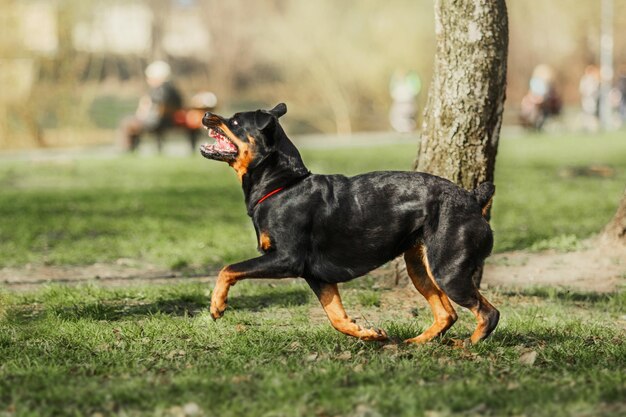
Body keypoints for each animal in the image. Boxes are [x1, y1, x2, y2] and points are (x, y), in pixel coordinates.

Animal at [200, 105, 498, 344]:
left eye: (235, 121)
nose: (206, 114)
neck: (283, 185)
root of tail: (473, 199)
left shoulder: (286, 259)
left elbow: (228, 269)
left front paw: (217, 306)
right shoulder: (317, 276)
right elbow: (337, 317)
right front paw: (369, 334)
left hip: (448, 270)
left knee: (488, 313)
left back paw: (469, 345)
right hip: (419, 267)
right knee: (447, 314)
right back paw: (417, 343)